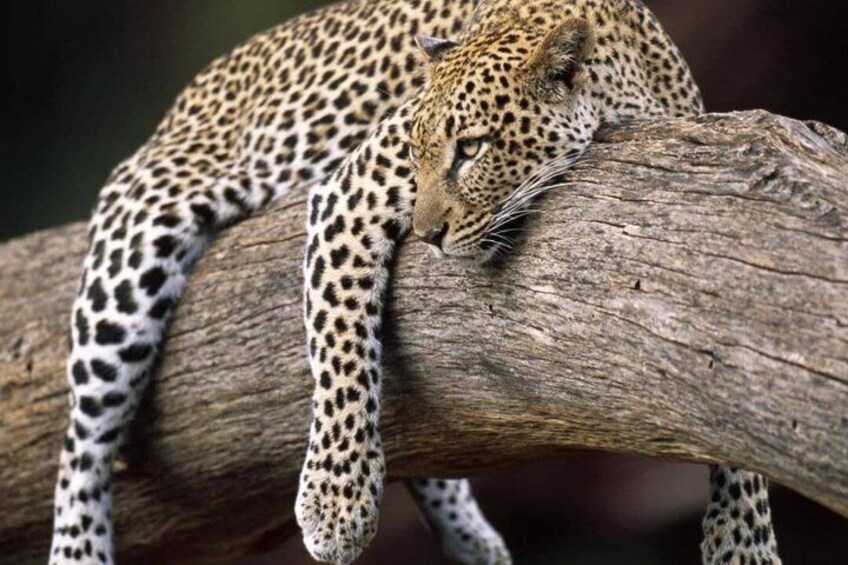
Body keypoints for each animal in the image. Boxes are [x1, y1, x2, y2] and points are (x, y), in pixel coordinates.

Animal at [299, 0, 782, 564]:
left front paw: (744, 539)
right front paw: (336, 501)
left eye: (471, 148)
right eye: (417, 153)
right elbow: (341, 344)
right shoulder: (349, 193)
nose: (427, 235)